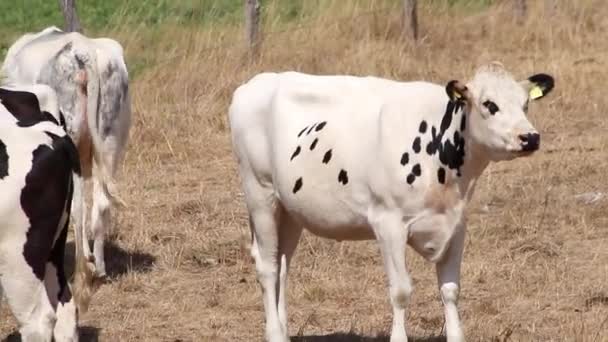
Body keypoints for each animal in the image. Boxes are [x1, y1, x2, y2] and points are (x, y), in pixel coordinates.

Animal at [229, 62, 556, 342]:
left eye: (525, 104)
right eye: (490, 104)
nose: (530, 137)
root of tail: (254, 83)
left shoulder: (457, 223)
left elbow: (451, 289)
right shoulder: (388, 223)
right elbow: (401, 291)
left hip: (289, 209)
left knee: (282, 264)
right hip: (259, 192)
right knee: (267, 266)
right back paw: (274, 333)